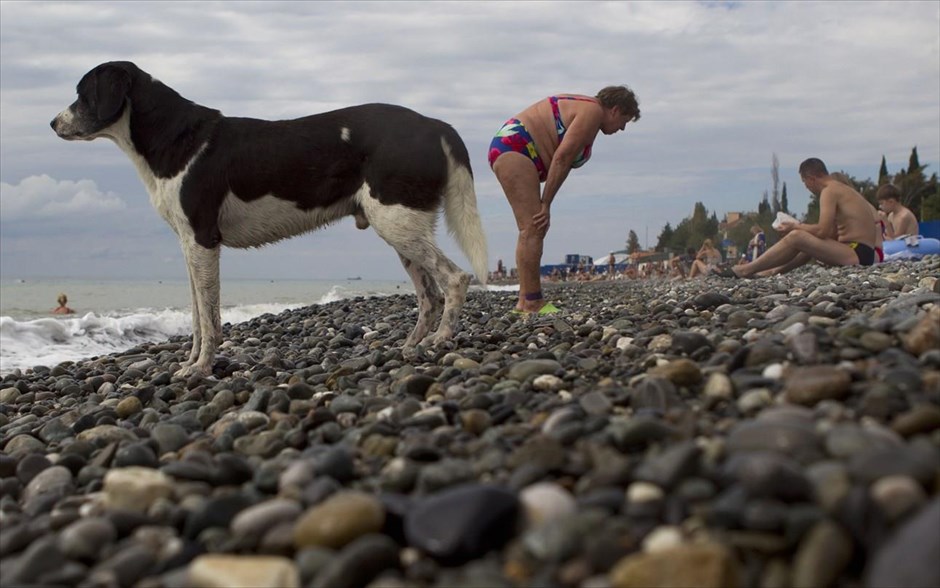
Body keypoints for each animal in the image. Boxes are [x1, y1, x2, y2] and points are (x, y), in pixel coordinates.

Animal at [52, 60, 488, 376]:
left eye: (82, 95)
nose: (53, 123)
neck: (173, 137)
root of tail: (436, 125)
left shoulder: (203, 241)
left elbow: (209, 318)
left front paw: (201, 368)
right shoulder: (188, 245)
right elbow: (195, 316)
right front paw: (191, 361)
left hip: (398, 223)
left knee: (455, 280)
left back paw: (439, 341)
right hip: (402, 231)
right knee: (429, 295)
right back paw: (412, 346)